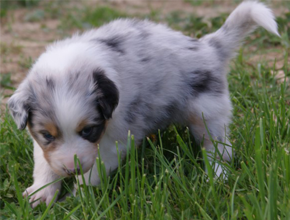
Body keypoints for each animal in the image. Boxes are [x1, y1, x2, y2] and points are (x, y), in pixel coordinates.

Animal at [7, 1, 278, 208]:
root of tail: (208, 47)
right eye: (47, 135)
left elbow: (94, 169)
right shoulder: (41, 142)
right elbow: (44, 163)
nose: (71, 169)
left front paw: (78, 197)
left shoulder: (115, 139)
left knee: (219, 148)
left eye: (89, 130)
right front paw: (40, 194)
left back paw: (217, 175)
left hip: (208, 113)